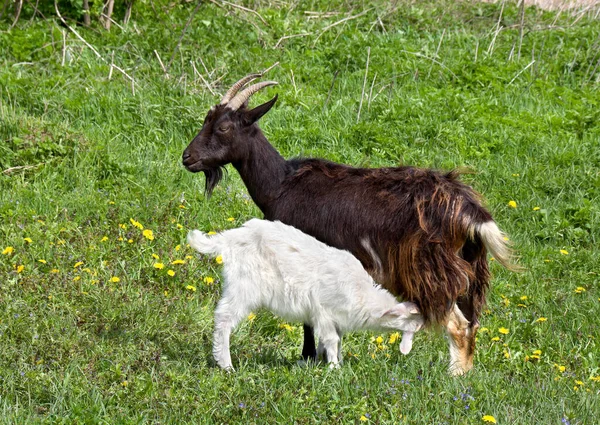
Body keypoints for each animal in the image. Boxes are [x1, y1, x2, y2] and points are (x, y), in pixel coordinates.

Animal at [182, 73, 516, 374]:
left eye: (224, 127)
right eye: (206, 121)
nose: (187, 157)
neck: (282, 184)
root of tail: (470, 211)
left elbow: (309, 319)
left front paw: (308, 357)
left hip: (430, 271)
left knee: (458, 324)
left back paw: (454, 376)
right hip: (471, 267)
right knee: (472, 322)